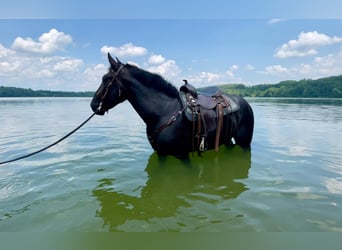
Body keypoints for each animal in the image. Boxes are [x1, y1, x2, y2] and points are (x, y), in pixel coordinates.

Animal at [91, 53, 254, 158]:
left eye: (106, 79)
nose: (93, 105)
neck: (163, 112)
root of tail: (244, 102)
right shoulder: (161, 154)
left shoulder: (181, 155)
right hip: (227, 139)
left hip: (244, 142)